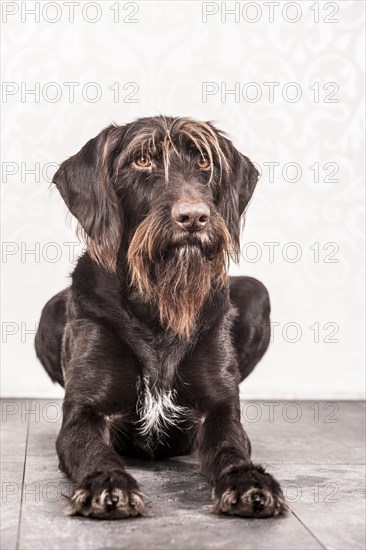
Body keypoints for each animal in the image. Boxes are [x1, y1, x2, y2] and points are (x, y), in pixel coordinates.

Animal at [35, 116, 286, 520]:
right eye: (141, 161)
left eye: (204, 161)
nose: (193, 217)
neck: (158, 306)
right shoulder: (84, 414)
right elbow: (94, 450)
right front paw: (108, 483)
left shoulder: (219, 410)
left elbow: (230, 447)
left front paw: (248, 480)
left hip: (255, 291)